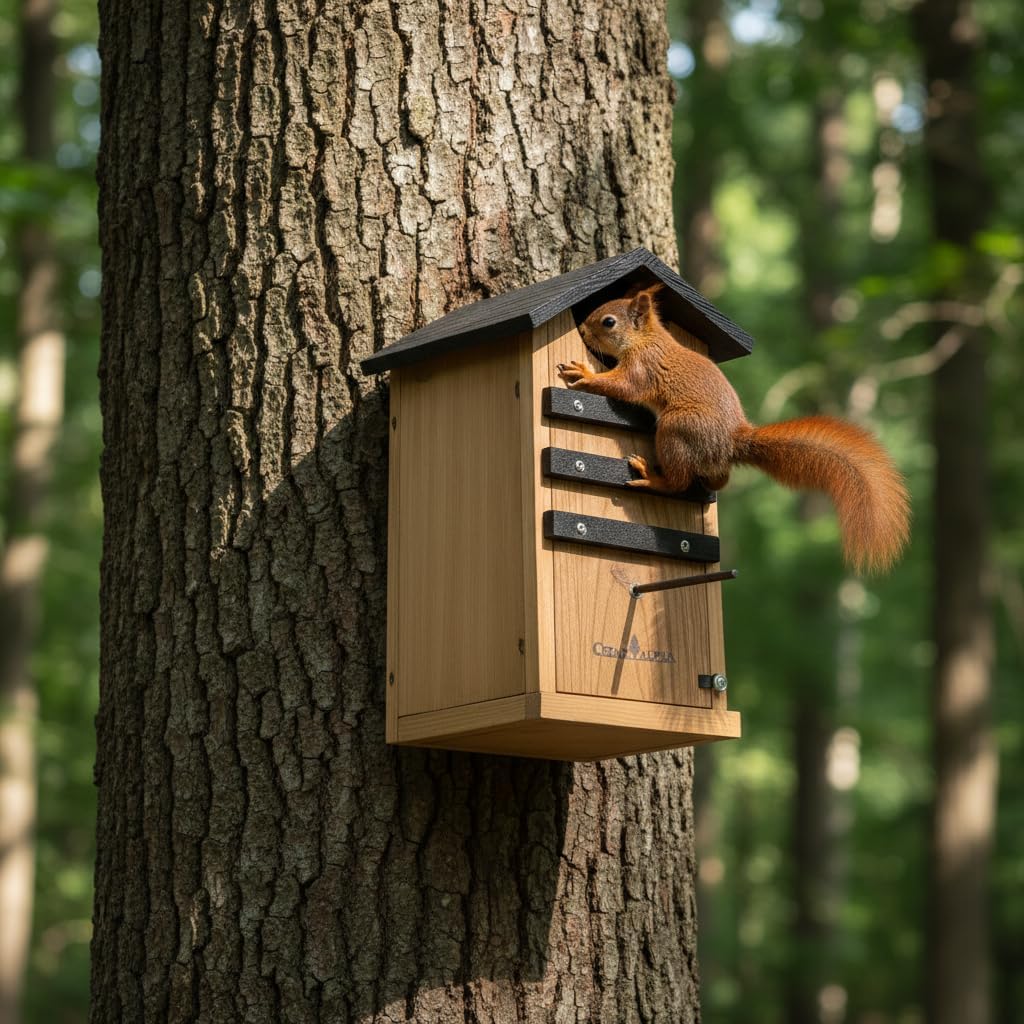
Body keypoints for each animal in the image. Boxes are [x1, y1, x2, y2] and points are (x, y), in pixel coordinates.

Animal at [557, 282, 910, 574]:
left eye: (608, 322)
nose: (582, 331)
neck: (645, 339)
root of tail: (732, 440)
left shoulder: (642, 368)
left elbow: (623, 386)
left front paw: (585, 373)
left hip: (676, 428)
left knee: (678, 482)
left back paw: (651, 477)